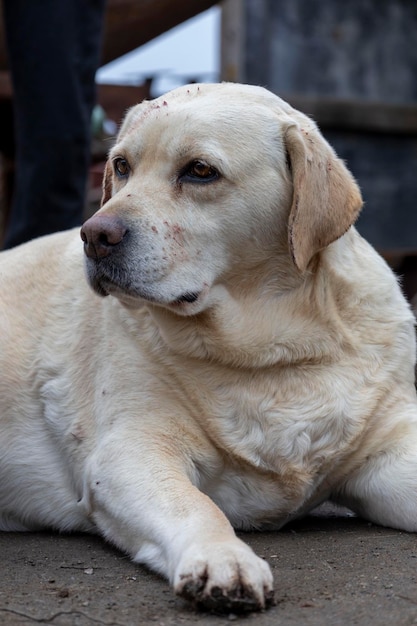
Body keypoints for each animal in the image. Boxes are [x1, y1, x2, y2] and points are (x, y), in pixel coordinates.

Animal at [0, 81, 416, 608]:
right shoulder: (129, 452)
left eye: (200, 171)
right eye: (122, 166)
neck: (271, 353)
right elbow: (197, 506)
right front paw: (223, 558)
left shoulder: (389, 454)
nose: (94, 235)